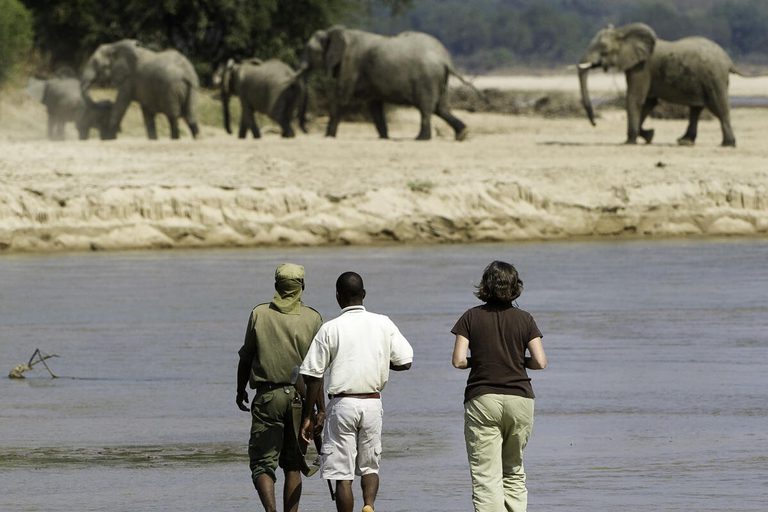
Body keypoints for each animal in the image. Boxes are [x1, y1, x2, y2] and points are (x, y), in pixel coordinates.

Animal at [303, 26, 477, 141]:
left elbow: (341, 97)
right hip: (440, 79)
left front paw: (328, 136)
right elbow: (374, 105)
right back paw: (463, 134)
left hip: (427, 78)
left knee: (426, 108)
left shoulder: (350, 63)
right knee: (440, 108)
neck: (337, 31)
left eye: (310, 50)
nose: (306, 131)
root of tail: (445, 59)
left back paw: (421, 138)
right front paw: (384, 138)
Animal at [578, 23, 737, 146]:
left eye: (603, 48)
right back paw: (685, 142)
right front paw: (649, 136)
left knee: (719, 108)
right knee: (696, 109)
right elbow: (649, 102)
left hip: (714, 78)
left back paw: (728, 144)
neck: (624, 31)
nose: (594, 124)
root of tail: (728, 60)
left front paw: (629, 142)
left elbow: (635, 99)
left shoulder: (642, 67)